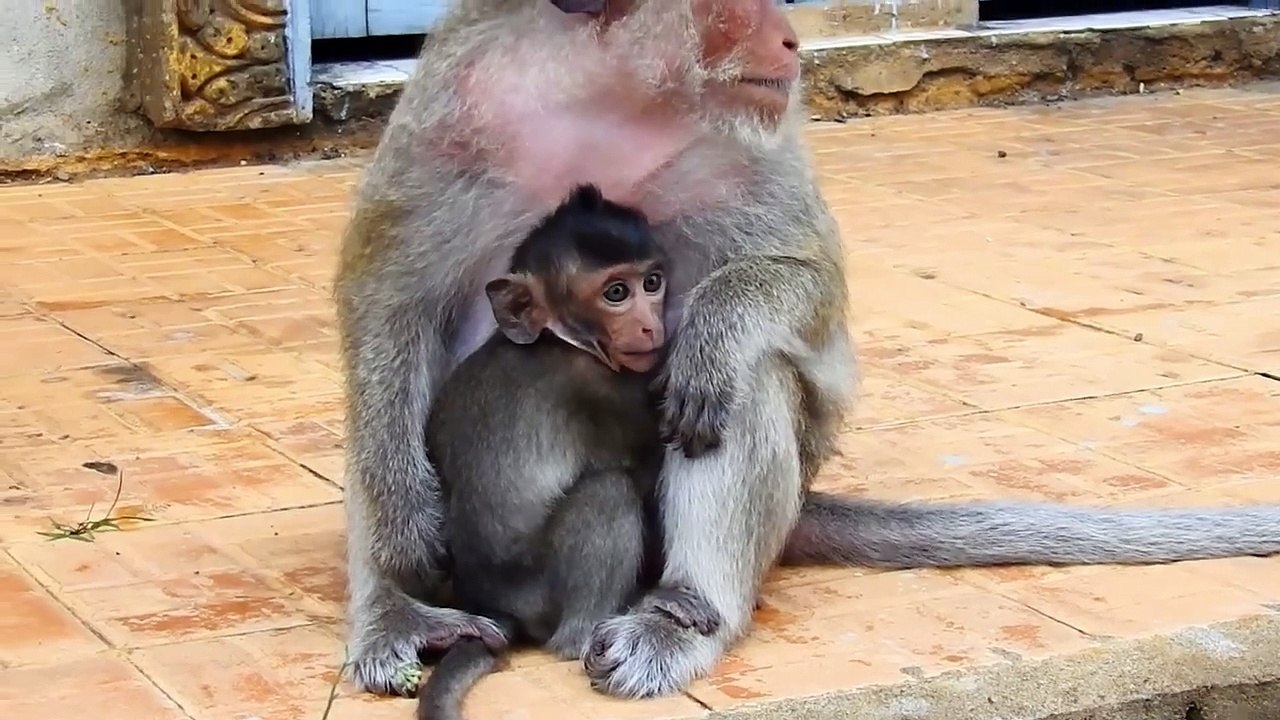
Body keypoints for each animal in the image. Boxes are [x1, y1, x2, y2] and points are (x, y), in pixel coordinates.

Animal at [416, 184, 722, 720]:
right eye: (616, 293)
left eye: (652, 282)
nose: (650, 326)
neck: (561, 341)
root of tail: (498, 605)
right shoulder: (603, 391)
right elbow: (639, 474)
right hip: (543, 594)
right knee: (608, 493)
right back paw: (597, 626)